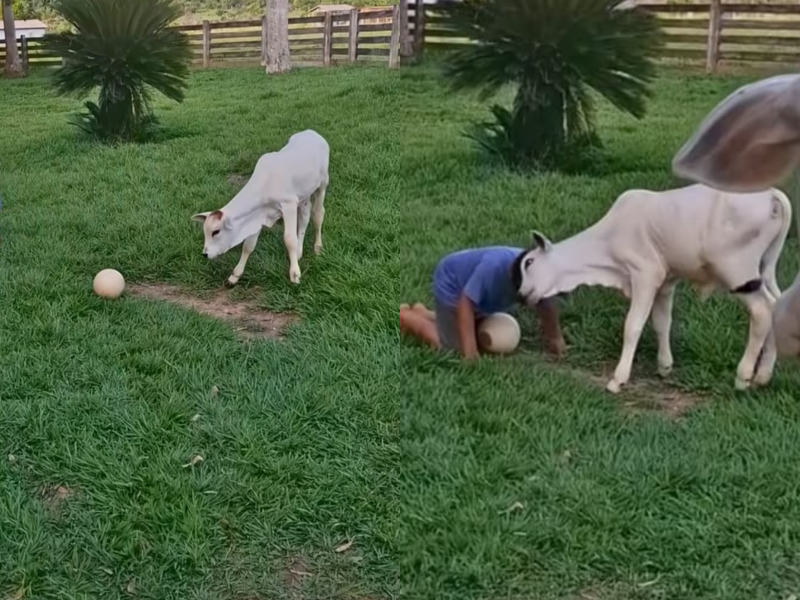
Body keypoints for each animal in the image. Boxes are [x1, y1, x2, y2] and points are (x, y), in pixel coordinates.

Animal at [192, 128, 330, 286]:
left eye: (216, 231)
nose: (205, 254)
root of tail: (311, 132)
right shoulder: (258, 215)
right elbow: (248, 246)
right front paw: (235, 275)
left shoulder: (289, 204)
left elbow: (289, 239)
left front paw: (295, 274)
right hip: (304, 195)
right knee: (305, 217)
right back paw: (299, 253)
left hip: (323, 183)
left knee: (318, 215)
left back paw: (318, 247)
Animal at [516, 185, 792, 396]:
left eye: (528, 262)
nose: (520, 295)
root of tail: (771, 194)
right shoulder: (666, 282)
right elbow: (662, 322)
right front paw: (665, 367)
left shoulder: (646, 275)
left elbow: (633, 325)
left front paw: (618, 379)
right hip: (763, 270)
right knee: (776, 305)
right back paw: (763, 376)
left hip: (737, 272)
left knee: (761, 312)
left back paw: (744, 377)